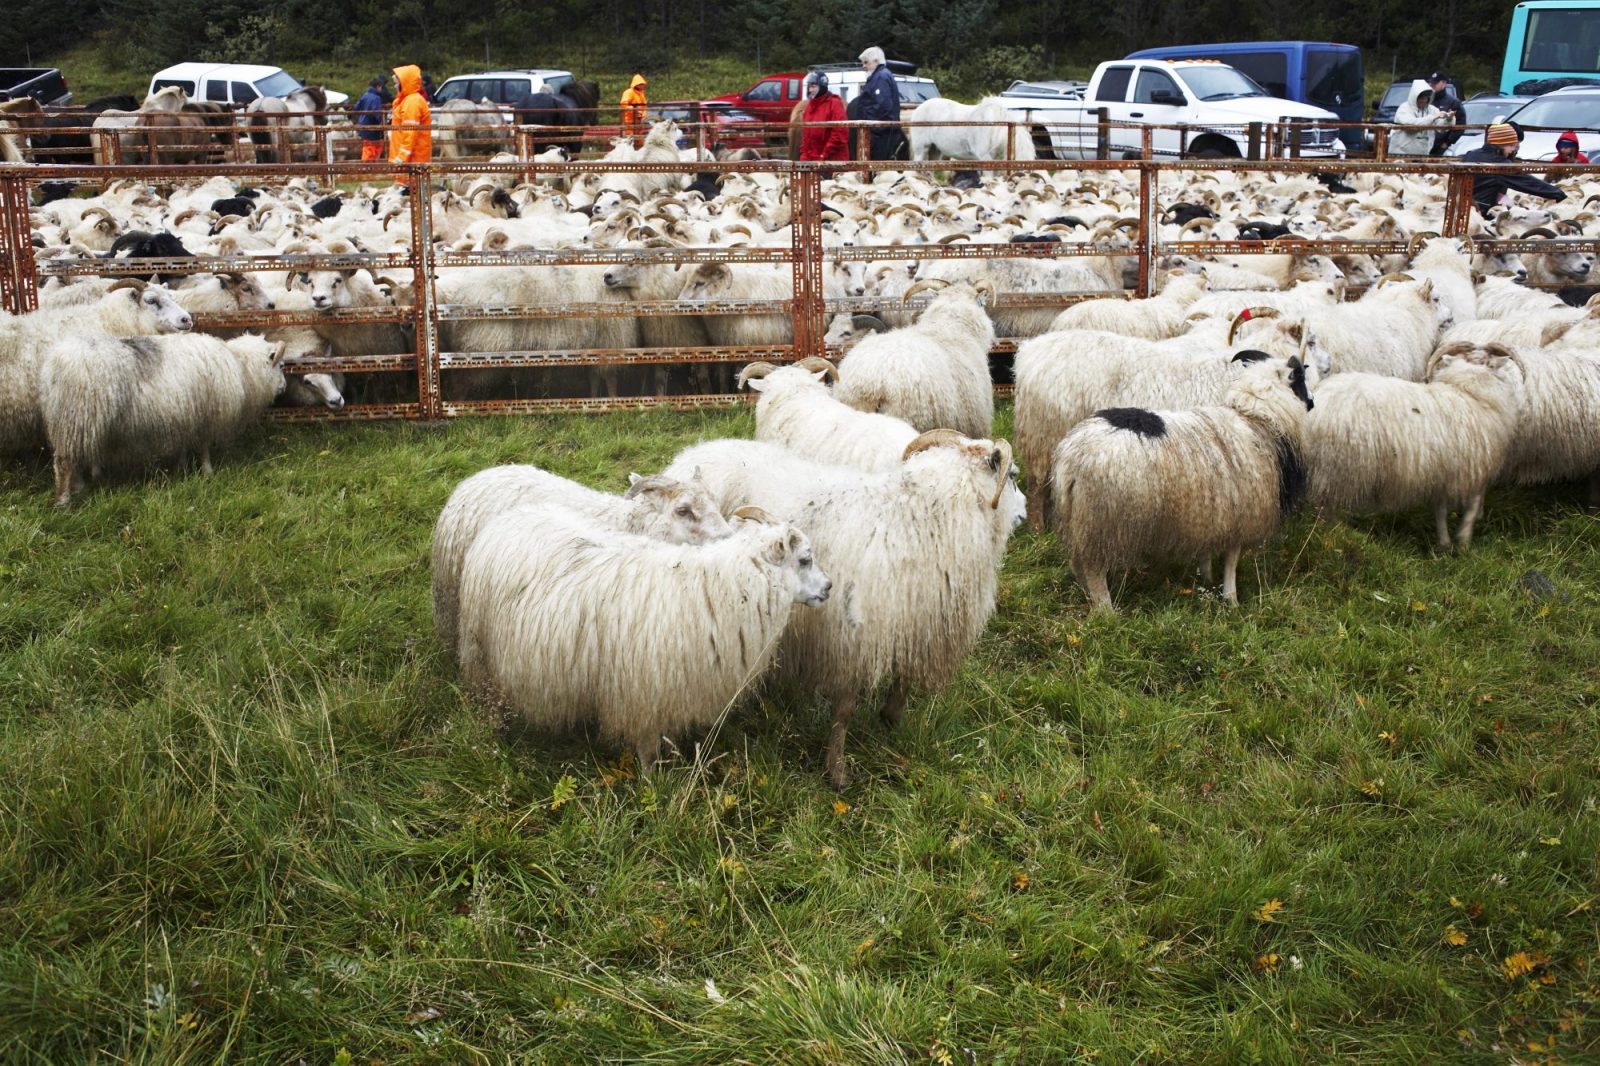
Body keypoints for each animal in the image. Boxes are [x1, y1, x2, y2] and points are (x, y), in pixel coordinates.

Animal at [40, 331, 286, 505]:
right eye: (281, 366)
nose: (284, 387)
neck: (242, 366)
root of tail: (57, 362)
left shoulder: (187, 416)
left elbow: (184, 445)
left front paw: (182, 468)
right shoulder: (206, 417)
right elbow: (204, 446)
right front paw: (207, 472)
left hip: (73, 422)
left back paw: (79, 486)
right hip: (77, 419)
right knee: (64, 462)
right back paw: (64, 500)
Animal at [456, 506, 831, 769]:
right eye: (805, 559)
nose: (828, 587)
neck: (724, 585)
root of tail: (503, 520)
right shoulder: (645, 696)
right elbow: (648, 752)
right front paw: (654, 784)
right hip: (479, 646)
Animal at [664, 430, 1025, 788]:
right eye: (1013, 476)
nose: (1025, 511)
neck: (926, 511)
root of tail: (692, 454)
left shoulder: (917, 621)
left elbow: (903, 681)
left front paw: (891, 720)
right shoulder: (853, 636)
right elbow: (845, 709)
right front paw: (836, 770)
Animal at [1050, 353, 1315, 611]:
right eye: (1301, 381)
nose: (1312, 403)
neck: (1256, 418)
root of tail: (1072, 456)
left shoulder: (1212, 511)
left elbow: (1207, 552)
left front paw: (1206, 580)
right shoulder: (1241, 512)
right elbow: (1231, 560)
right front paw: (1232, 600)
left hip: (1078, 518)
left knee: (1079, 560)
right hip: (1102, 521)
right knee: (1094, 569)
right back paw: (1106, 610)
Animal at [1302, 341, 1524, 550]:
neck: (1469, 391)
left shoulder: (1442, 471)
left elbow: (1440, 510)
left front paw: (1444, 544)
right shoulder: (1475, 470)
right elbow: (1471, 509)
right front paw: (1463, 543)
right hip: (1335, 472)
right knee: (1325, 511)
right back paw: (1332, 536)